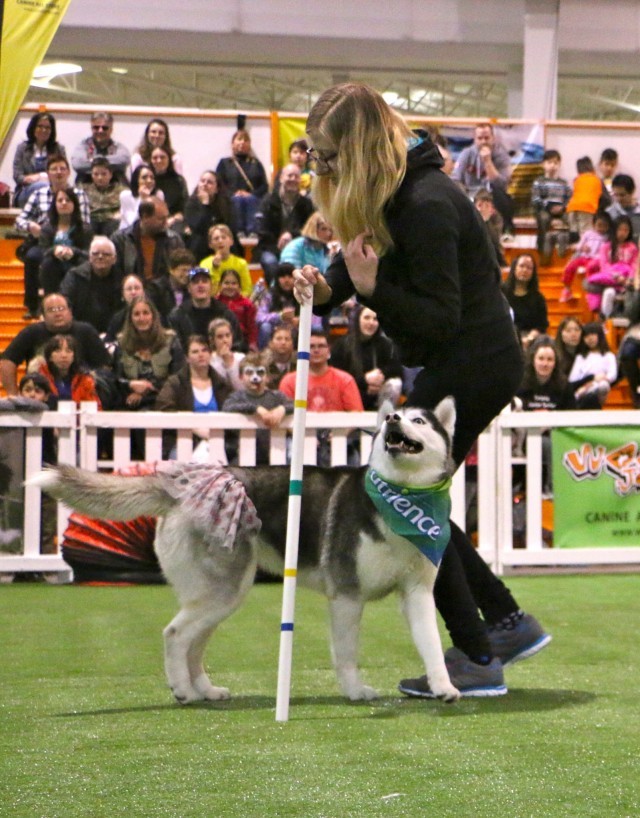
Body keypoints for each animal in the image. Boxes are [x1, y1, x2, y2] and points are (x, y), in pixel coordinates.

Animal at [32, 396, 460, 700]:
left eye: (419, 421)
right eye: (397, 417)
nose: (392, 419)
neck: (400, 497)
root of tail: (181, 487)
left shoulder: (417, 594)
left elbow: (431, 645)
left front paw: (444, 688)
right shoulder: (346, 597)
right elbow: (347, 655)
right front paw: (356, 693)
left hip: (224, 594)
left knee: (193, 643)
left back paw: (205, 690)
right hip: (222, 590)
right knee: (175, 634)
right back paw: (183, 691)